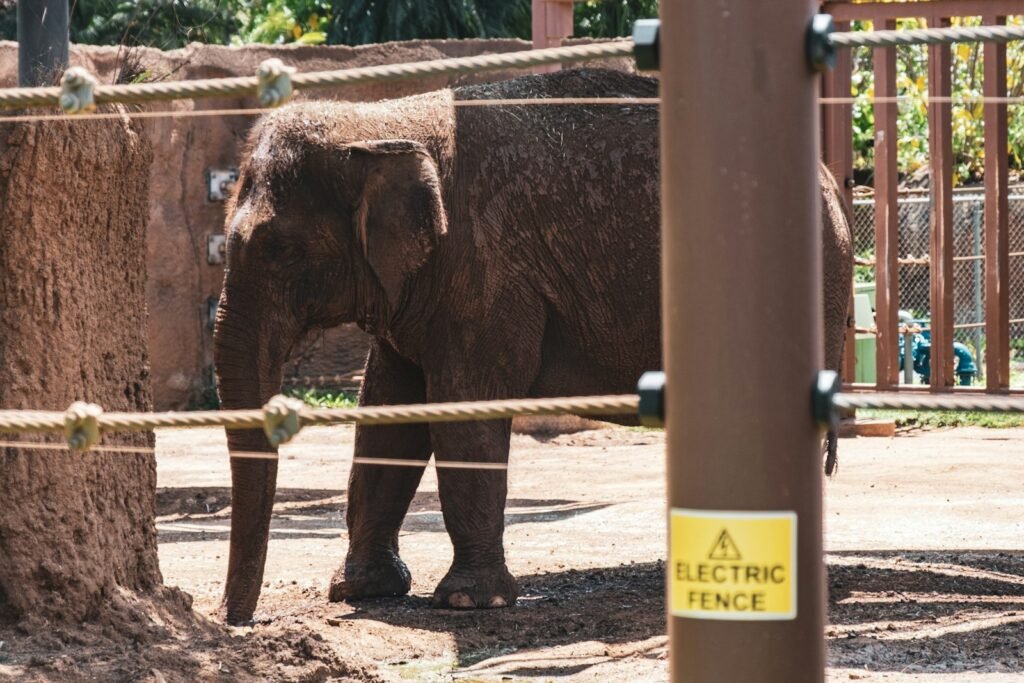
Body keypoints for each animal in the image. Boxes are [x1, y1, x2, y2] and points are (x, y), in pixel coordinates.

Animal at [214, 67, 853, 624]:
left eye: (282, 251)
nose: (237, 620)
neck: (379, 121)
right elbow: (388, 416)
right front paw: (361, 591)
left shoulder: (486, 273)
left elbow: (462, 413)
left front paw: (468, 604)